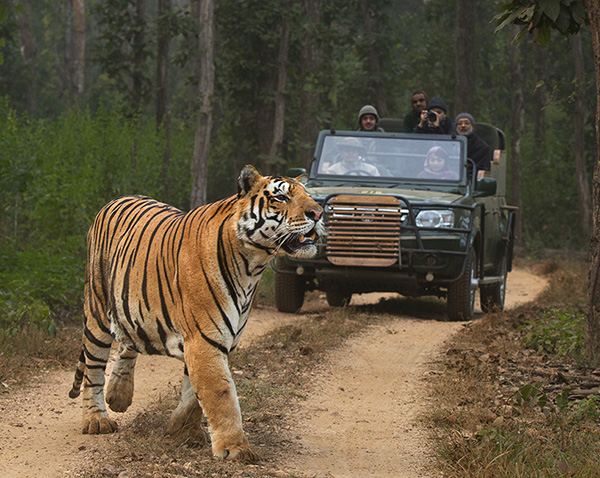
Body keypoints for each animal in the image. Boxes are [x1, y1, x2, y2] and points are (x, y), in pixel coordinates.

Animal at [67, 163, 324, 460]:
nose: (318, 213)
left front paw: (181, 431)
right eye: (281, 197)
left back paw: (118, 395)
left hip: (131, 307)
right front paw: (235, 448)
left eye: (309, 195)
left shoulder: (215, 340)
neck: (253, 266)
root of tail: (116, 199)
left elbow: (193, 394)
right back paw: (96, 419)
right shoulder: (205, 338)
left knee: (127, 341)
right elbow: (220, 392)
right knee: (94, 369)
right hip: (96, 310)